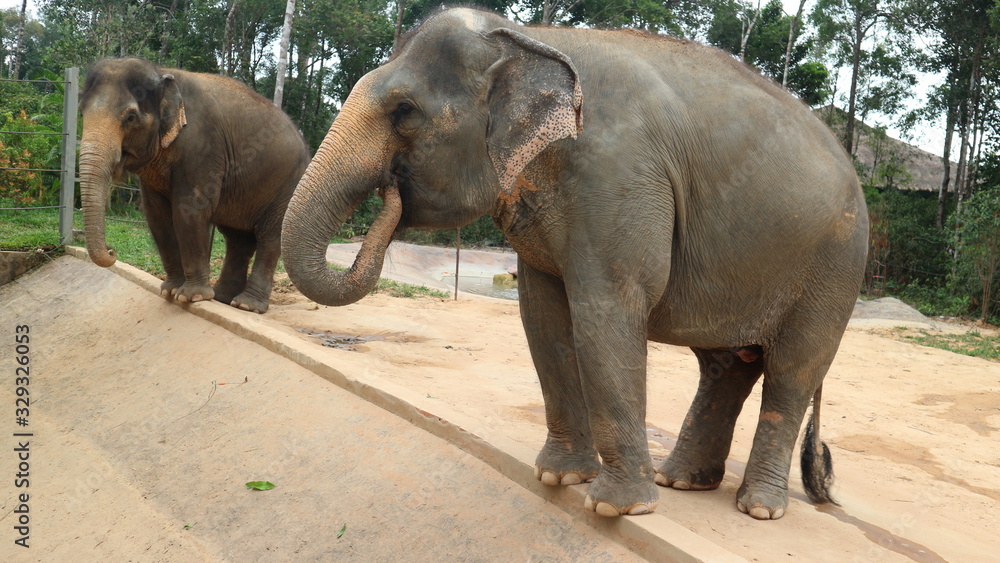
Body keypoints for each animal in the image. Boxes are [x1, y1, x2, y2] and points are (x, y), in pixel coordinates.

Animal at [79, 57, 310, 313]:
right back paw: (223, 298)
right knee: (238, 239)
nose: (111, 250)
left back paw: (246, 305)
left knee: (270, 237)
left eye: (130, 117)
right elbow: (156, 215)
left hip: (288, 186)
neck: (160, 72)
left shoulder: (202, 146)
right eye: (81, 112)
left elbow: (189, 209)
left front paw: (192, 297)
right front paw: (170, 291)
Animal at [280, 7, 868, 520]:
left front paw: (617, 507)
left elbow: (605, 312)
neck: (531, 37)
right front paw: (560, 477)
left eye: (404, 111)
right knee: (726, 366)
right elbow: (542, 318)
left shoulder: (617, 175)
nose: (390, 189)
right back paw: (680, 481)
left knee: (792, 371)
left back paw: (759, 508)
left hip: (835, 267)